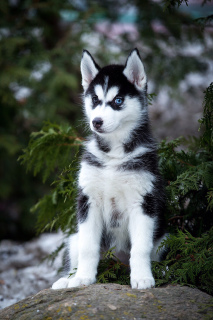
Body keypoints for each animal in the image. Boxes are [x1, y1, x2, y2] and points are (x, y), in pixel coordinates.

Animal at [51, 48, 166, 290]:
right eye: (95, 100)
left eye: (118, 100)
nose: (96, 122)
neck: (114, 153)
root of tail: (118, 263)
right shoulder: (88, 200)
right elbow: (88, 248)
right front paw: (83, 278)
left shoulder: (143, 201)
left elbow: (140, 248)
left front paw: (142, 278)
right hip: (74, 237)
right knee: (78, 250)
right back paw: (68, 279)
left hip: (164, 237)